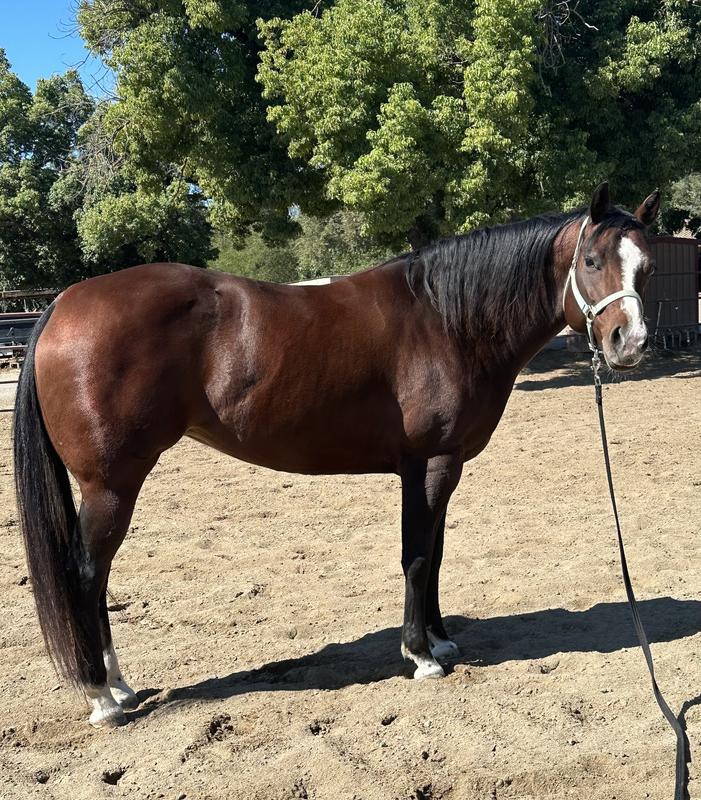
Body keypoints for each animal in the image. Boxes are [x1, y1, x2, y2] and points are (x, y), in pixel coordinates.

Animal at [13, 182, 660, 727]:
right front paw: (421, 655)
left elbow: (436, 554)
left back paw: (117, 686)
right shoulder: (428, 466)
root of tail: (63, 304)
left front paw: (442, 639)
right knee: (87, 573)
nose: (629, 344)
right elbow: (416, 557)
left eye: (646, 267)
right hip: (110, 486)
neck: (445, 320)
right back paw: (103, 696)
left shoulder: (441, 466)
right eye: (591, 261)